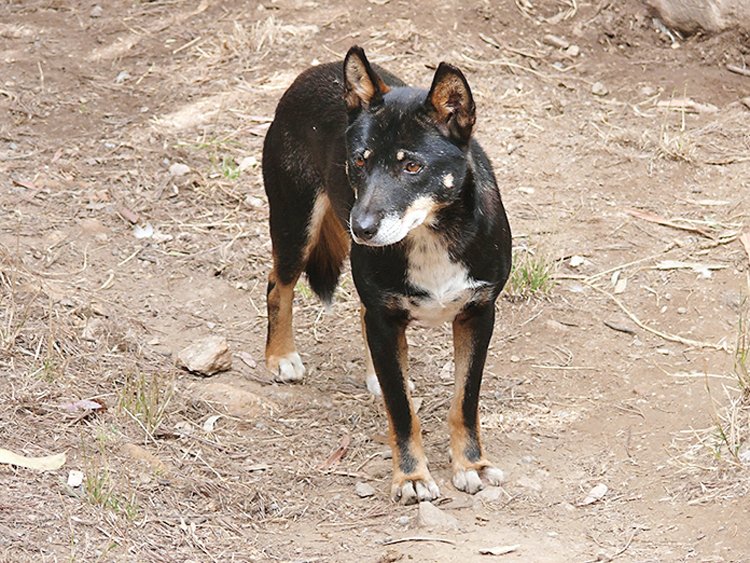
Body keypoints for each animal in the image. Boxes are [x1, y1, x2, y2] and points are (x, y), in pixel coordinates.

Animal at [262, 47, 516, 506]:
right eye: (358, 162)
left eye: (412, 166)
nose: (359, 229)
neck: (431, 237)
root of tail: (314, 72)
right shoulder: (385, 317)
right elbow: (402, 412)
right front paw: (411, 477)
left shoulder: (478, 314)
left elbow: (464, 402)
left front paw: (471, 465)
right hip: (295, 225)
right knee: (278, 285)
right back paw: (281, 356)